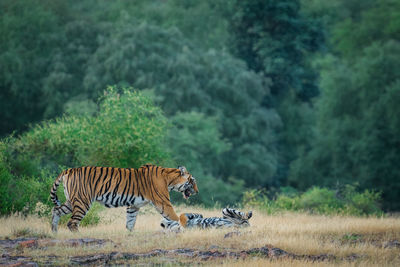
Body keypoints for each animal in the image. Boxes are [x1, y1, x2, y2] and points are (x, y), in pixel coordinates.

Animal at [50, 163, 198, 232]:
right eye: (192, 181)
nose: (197, 191)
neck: (169, 179)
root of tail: (69, 170)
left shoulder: (133, 205)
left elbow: (130, 222)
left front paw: (130, 235)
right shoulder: (163, 203)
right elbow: (175, 217)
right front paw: (184, 228)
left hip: (72, 201)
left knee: (56, 211)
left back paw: (54, 233)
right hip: (82, 201)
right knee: (72, 223)